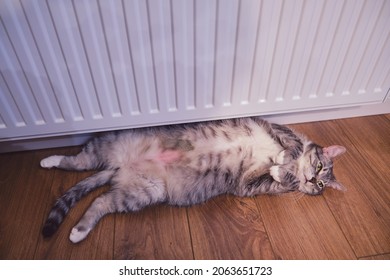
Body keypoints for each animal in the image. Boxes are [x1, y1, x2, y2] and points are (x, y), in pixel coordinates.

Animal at [39, 116, 346, 243]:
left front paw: (280, 171)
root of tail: (118, 167)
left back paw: (79, 230)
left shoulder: (248, 184)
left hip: (144, 190)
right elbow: (290, 148)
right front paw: (284, 160)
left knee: (100, 200)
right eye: (320, 166)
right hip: (111, 143)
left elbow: (275, 179)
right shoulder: (279, 129)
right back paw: (48, 160)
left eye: (322, 185)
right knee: (79, 162)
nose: (312, 181)